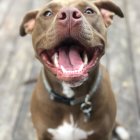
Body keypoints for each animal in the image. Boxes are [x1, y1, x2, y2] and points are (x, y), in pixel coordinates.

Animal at [19, 0, 130, 140]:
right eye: (47, 13)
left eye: (89, 11)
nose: (69, 14)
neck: (70, 101)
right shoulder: (42, 134)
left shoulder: (103, 134)